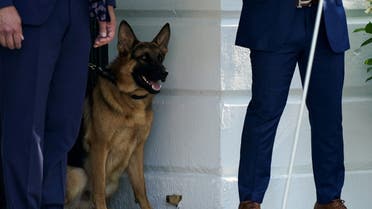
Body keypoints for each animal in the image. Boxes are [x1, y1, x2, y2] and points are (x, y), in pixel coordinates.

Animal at [66, 20, 171, 209]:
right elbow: (99, 191)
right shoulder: (100, 147)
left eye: (160, 58)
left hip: (112, 184)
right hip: (79, 175)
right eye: (144, 58)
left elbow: (141, 189)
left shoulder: (137, 150)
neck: (132, 99)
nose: (164, 73)